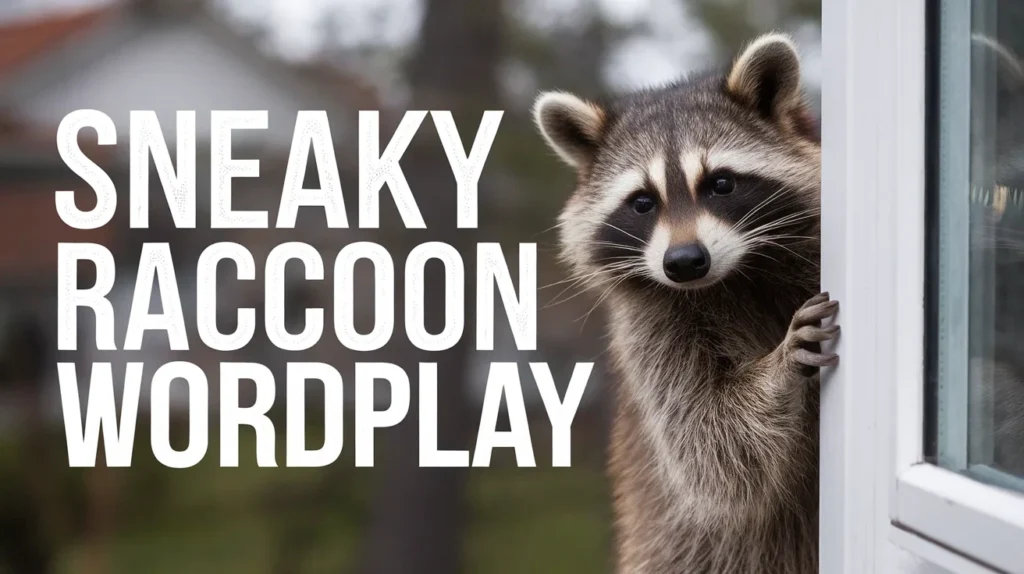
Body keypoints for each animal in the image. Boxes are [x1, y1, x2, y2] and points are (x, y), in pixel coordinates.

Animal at [534, 34, 835, 573]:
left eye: (721, 183)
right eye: (642, 202)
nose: (685, 262)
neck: (736, 275)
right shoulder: (648, 331)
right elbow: (714, 447)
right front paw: (781, 364)